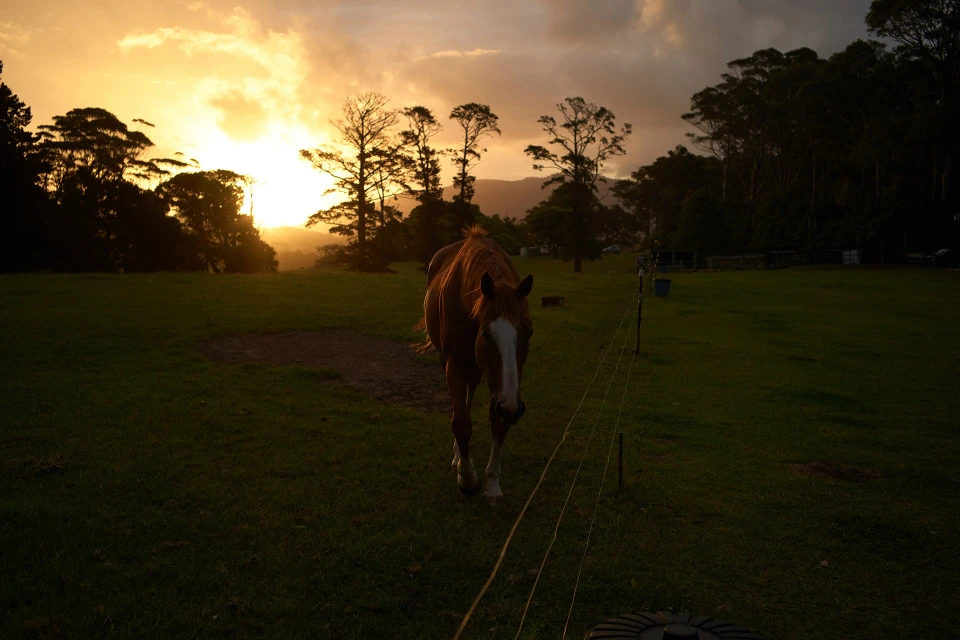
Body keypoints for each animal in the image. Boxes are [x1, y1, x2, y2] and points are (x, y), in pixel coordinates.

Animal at [421, 226, 534, 500]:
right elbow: (461, 422)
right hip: (449, 361)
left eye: (529, 332)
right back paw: (458, 457)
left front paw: (492, 483)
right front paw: (467, 477)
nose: (512, 408)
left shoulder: (505, 387)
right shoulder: (455, 364)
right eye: (485, 333)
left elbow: (499, 422)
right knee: (461, 407)